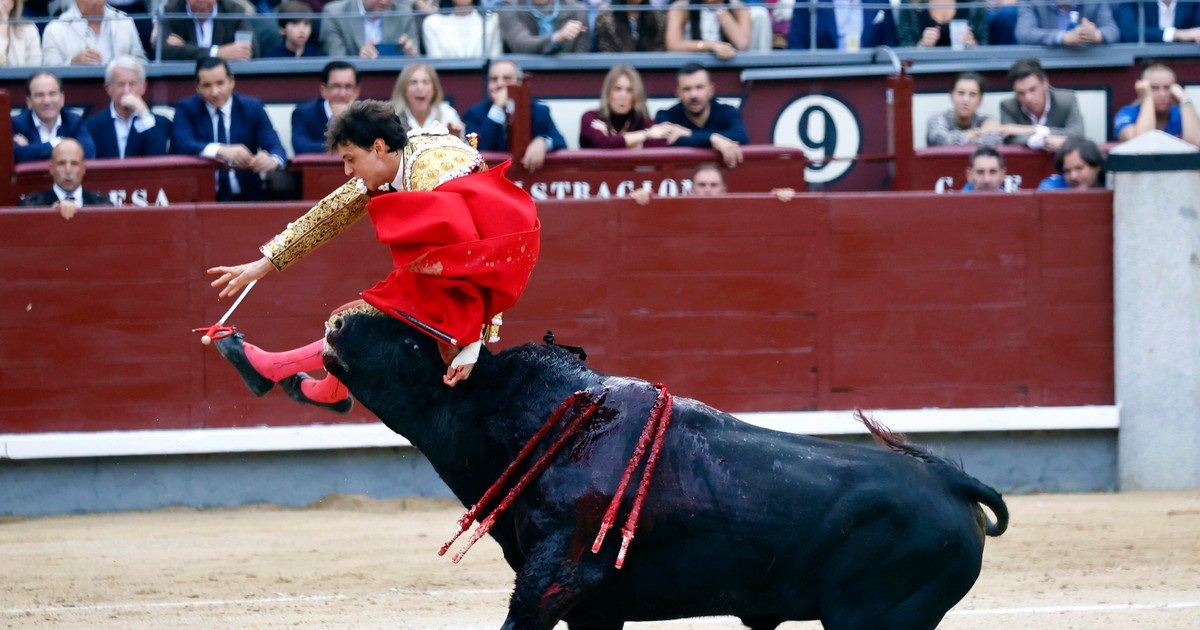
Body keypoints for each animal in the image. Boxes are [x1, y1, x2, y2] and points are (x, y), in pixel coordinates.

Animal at [324, 314, 1008, 628]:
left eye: (410, 343)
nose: (337, 323)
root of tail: (953, 483)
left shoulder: (553, 580)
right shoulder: (595, 608)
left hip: (873, 619)